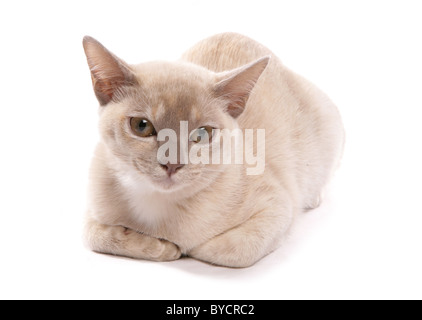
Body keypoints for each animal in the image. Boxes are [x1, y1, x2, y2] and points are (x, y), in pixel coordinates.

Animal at [81, 31, 342, 268]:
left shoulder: (278, 205)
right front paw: (160, 247)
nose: (172, 164)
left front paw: (182, 248)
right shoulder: (92, 209)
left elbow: (230, 249)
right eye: (141, 126)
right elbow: (96, 235)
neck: (156, 204)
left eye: (202, 134)